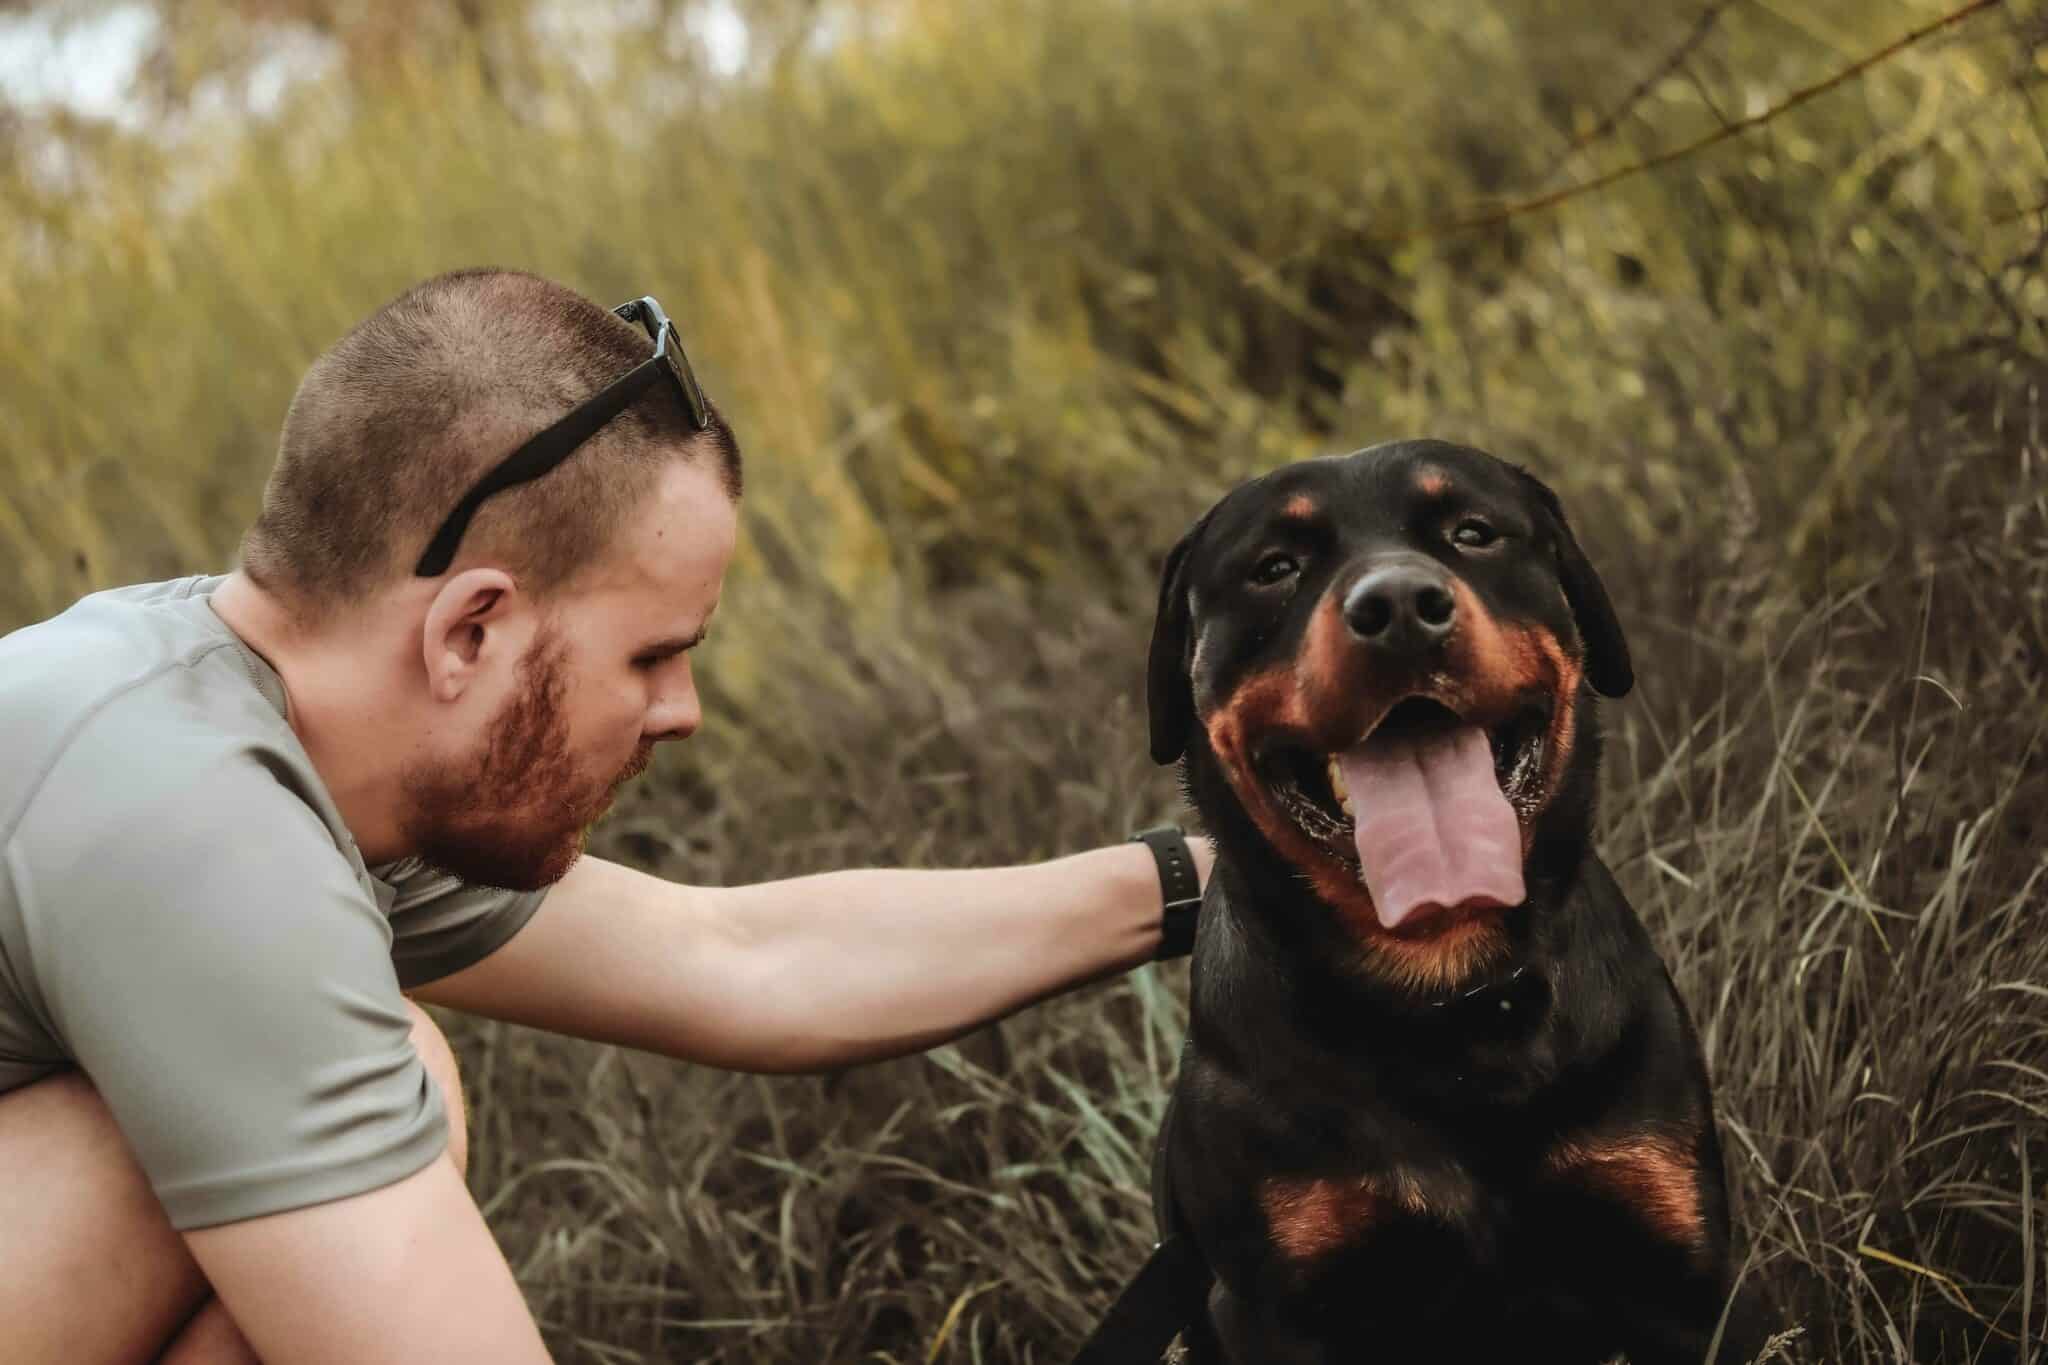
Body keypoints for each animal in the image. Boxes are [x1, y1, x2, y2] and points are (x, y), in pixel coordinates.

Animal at [1146, 444, 1769, 1358]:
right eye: (1274, 567)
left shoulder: (1681, 1264)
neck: (1447, 988)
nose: (1400, 606)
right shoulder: (1275, 1308)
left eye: (1473, 532)